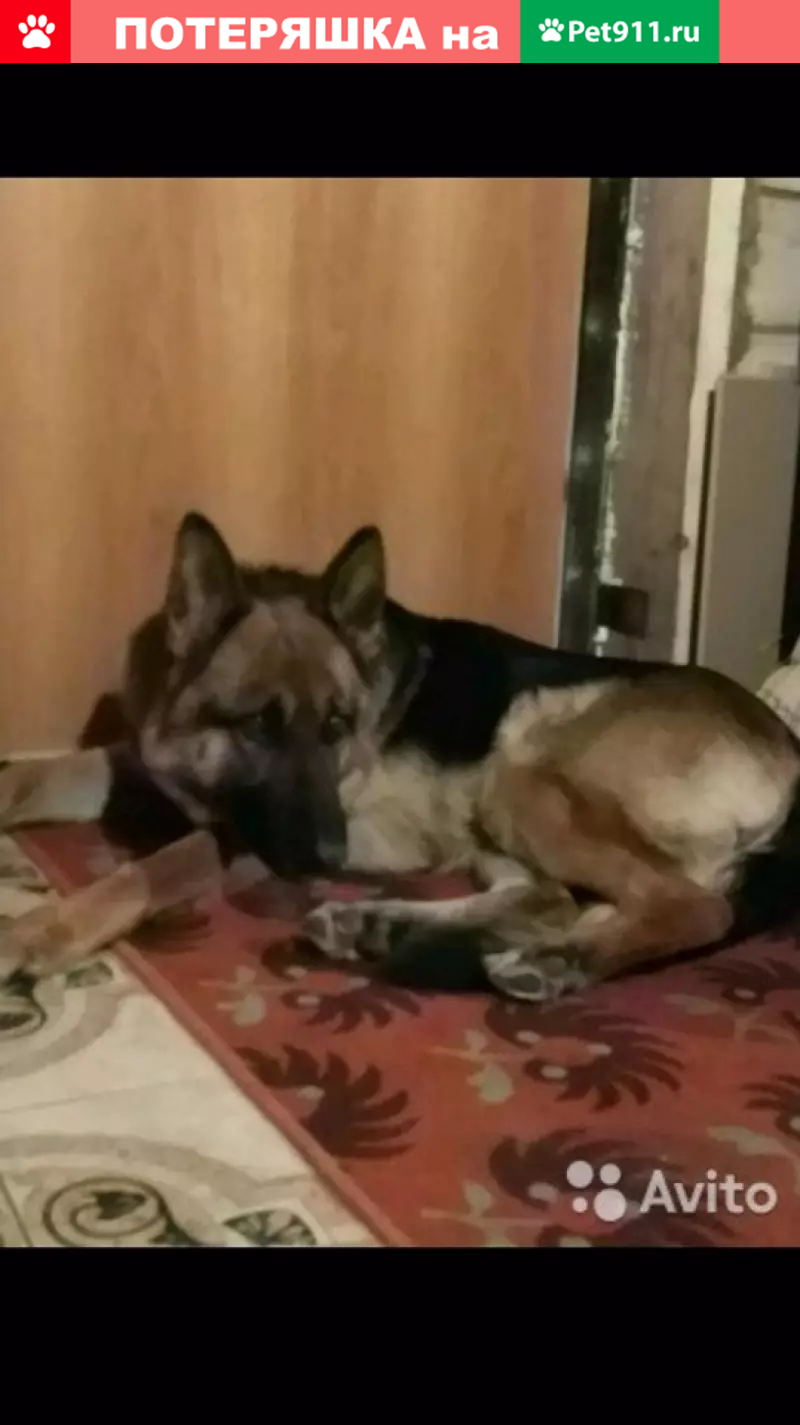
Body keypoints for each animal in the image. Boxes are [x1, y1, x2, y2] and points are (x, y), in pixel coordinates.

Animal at [2, 511, 800, 1002]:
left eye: (339, 725)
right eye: (259, 726)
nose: (327, 856)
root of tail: (788, 747)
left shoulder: (233, 840)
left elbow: (149, 870)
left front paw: (40, 932)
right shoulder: (130, 769)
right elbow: (29, 777)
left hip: (524, 765)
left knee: (687, 905)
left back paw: (560, 961)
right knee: (556, 898)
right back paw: (383, 925)